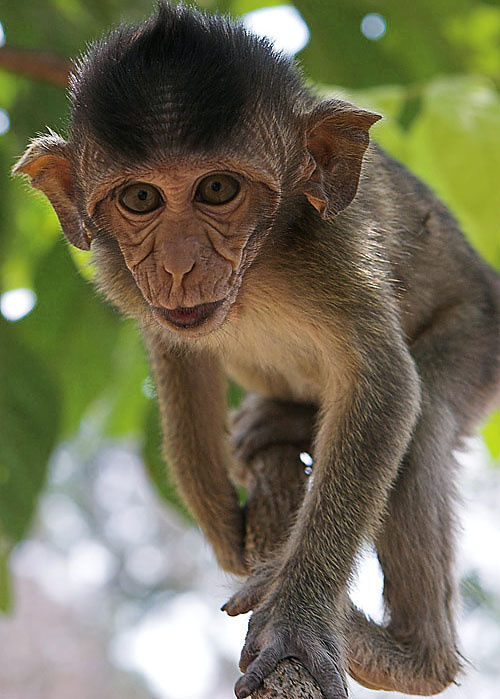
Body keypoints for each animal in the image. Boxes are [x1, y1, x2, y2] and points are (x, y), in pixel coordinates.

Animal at [12, 3, 500, 698]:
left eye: (218, 189)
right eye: (140, 199)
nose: (179, 263)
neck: (259, 266)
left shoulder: (331, 247)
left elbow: (385, 385)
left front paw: (299, 619)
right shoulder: (123, 276)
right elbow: (177, 351)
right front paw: (220, 523)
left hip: (478, 333)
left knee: (428, 414)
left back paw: (409, 655)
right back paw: (283, 421)